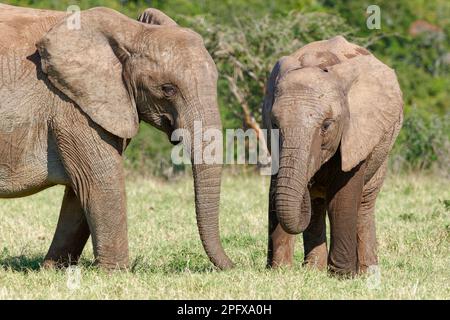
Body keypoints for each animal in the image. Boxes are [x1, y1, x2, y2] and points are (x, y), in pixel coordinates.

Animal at [0, 5, 232, 270]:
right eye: (168, 89)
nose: (233, 265)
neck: (133, 31)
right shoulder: (71, 106)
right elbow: (100, 181)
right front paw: (115, 272)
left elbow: (80, 191)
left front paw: (52, 271)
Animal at [262, 35, 402, 276]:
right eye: (275, 124)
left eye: (327, 125)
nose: (309, 179)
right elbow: (276, 194)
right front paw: (279, 271)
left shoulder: (357, 133)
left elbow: (342, 198)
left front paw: (341, 275)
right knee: (317, 205)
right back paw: (313, 270)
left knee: (364, 204)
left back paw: (367, 272)